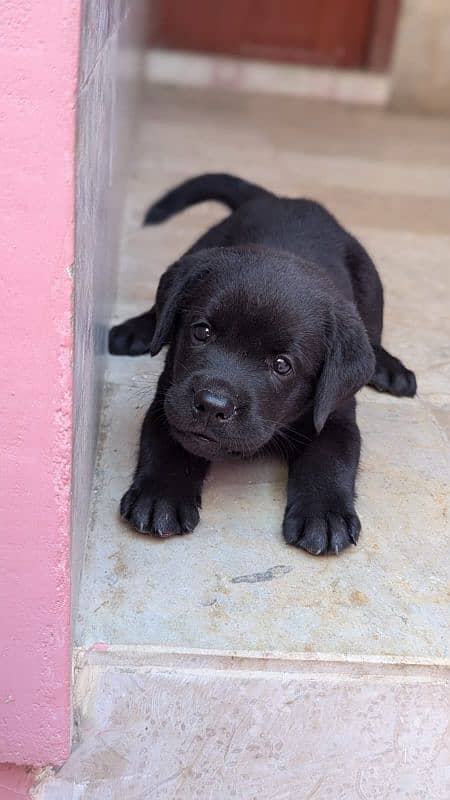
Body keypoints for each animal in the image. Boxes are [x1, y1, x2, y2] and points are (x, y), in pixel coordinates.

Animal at [108, 173, 414, 556]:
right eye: (201, 332)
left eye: (282, 365)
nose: (212, 405)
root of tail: (281, 198)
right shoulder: (170, 397)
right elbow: (167, 442)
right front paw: (160, 495)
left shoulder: (335, 414)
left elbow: (331, 456)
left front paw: (324, 514)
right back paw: (137, 330)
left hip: (371, 285)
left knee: (373, 332)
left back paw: (389, 367)